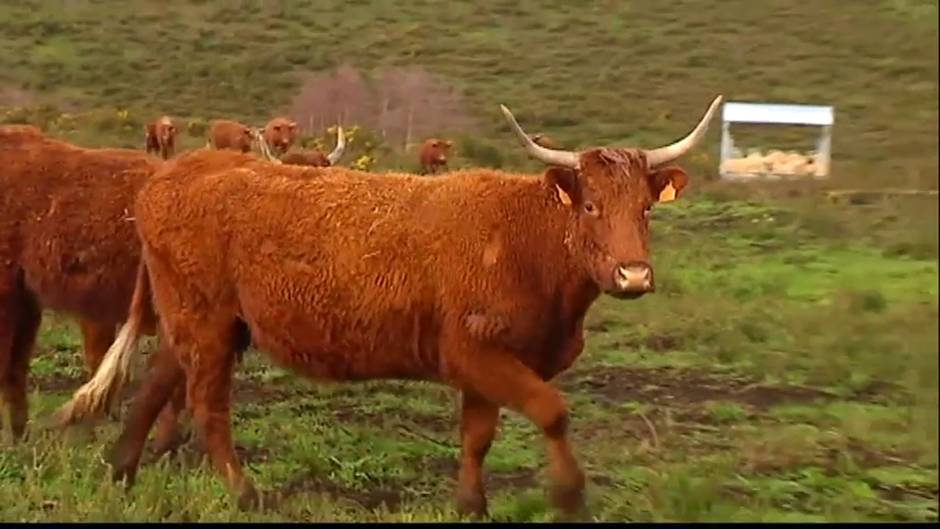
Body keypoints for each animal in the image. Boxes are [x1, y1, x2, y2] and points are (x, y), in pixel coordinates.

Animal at [57, 95, 720, 516]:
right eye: (590, 206)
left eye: (646, 208)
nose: (633, 275)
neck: (525, 241)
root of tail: (175, 172)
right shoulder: (479, 354)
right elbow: (552, 411)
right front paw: (569, 498)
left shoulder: (482, 366)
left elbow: (477, 436)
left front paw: (471, 505)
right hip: (209, 325)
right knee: (206, 406)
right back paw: (243, 493)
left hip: (198, 320)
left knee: (157, 382)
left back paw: (121, 470)